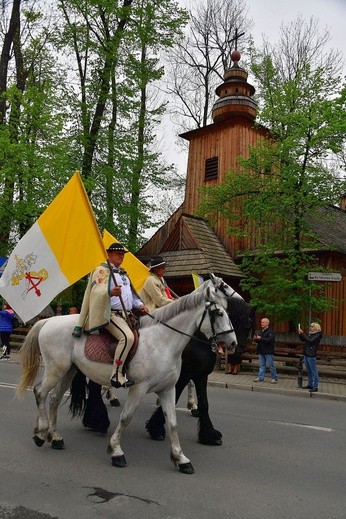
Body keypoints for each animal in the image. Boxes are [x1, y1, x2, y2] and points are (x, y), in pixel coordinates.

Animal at [16, 280, 238, 476]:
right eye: (218, 313)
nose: (233, 342)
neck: (162, 341)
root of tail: (48, 321)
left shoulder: (168, 388)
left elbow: (172, 423)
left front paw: (181, 459)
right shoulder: (138, 388)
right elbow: (126, 418)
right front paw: (116, 451)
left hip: (68, 371)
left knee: (54, 399)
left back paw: (55, 437)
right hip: (55, 369)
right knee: (40, 392)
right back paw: (41, 433)